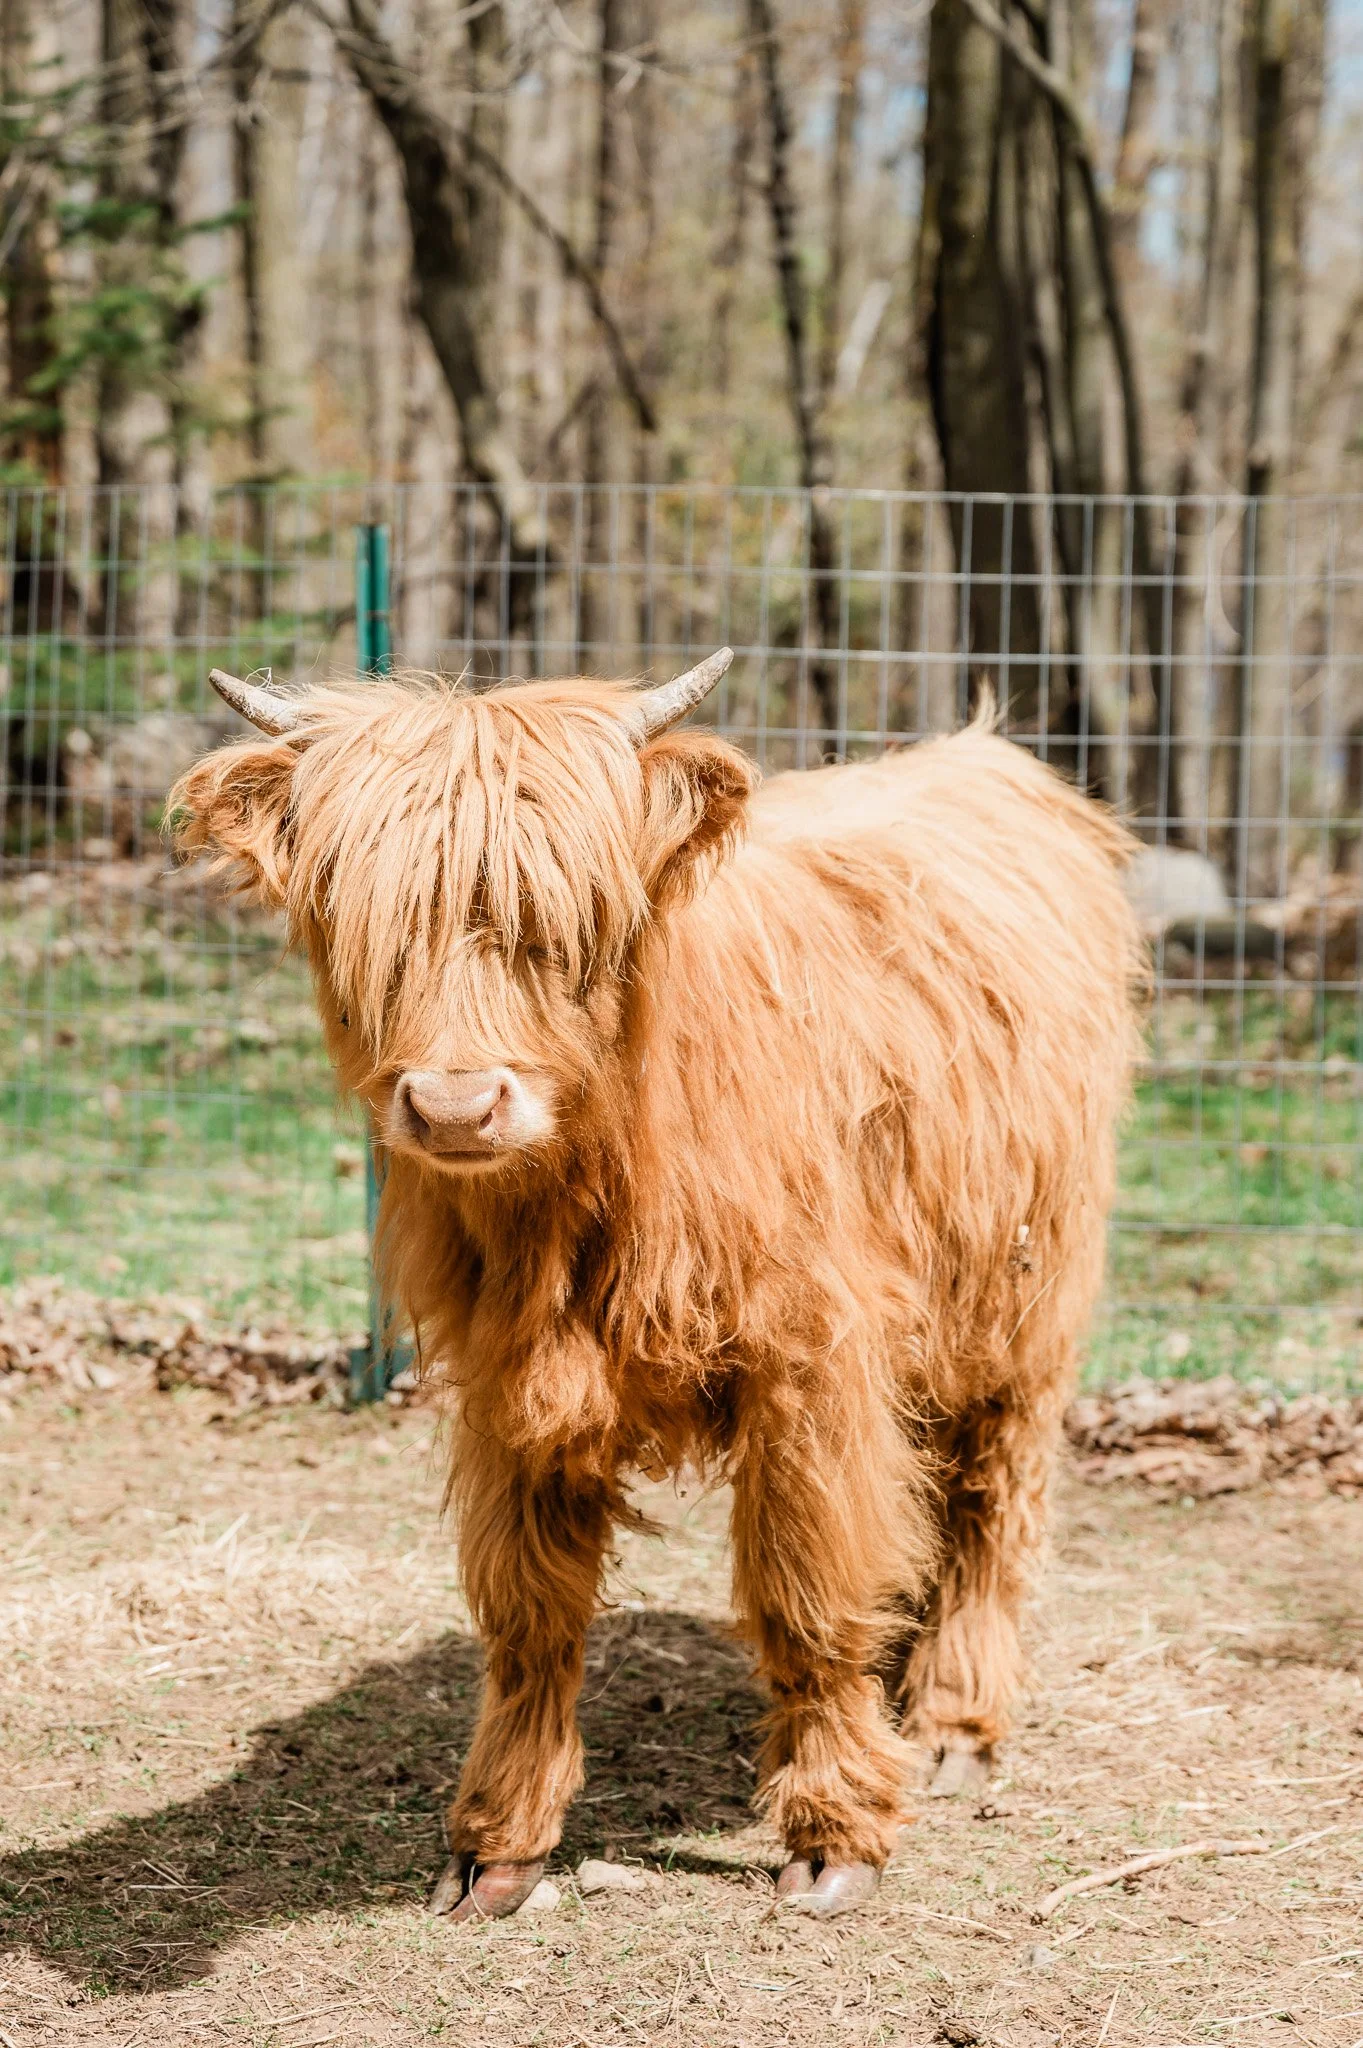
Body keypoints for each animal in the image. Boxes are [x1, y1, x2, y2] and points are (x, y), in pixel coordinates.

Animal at [170, 651, 1141, 1920]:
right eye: (367, 920)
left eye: (564, 918)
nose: (455, 1106)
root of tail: (988, 755)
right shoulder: (509, 1380)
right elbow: (527, 1609)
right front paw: (499, 1840)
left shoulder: (812, 1364)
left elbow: (809, 1587)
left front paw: (836, 1833)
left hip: (1028, 1293)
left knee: (991, 1495)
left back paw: (953, 1719)